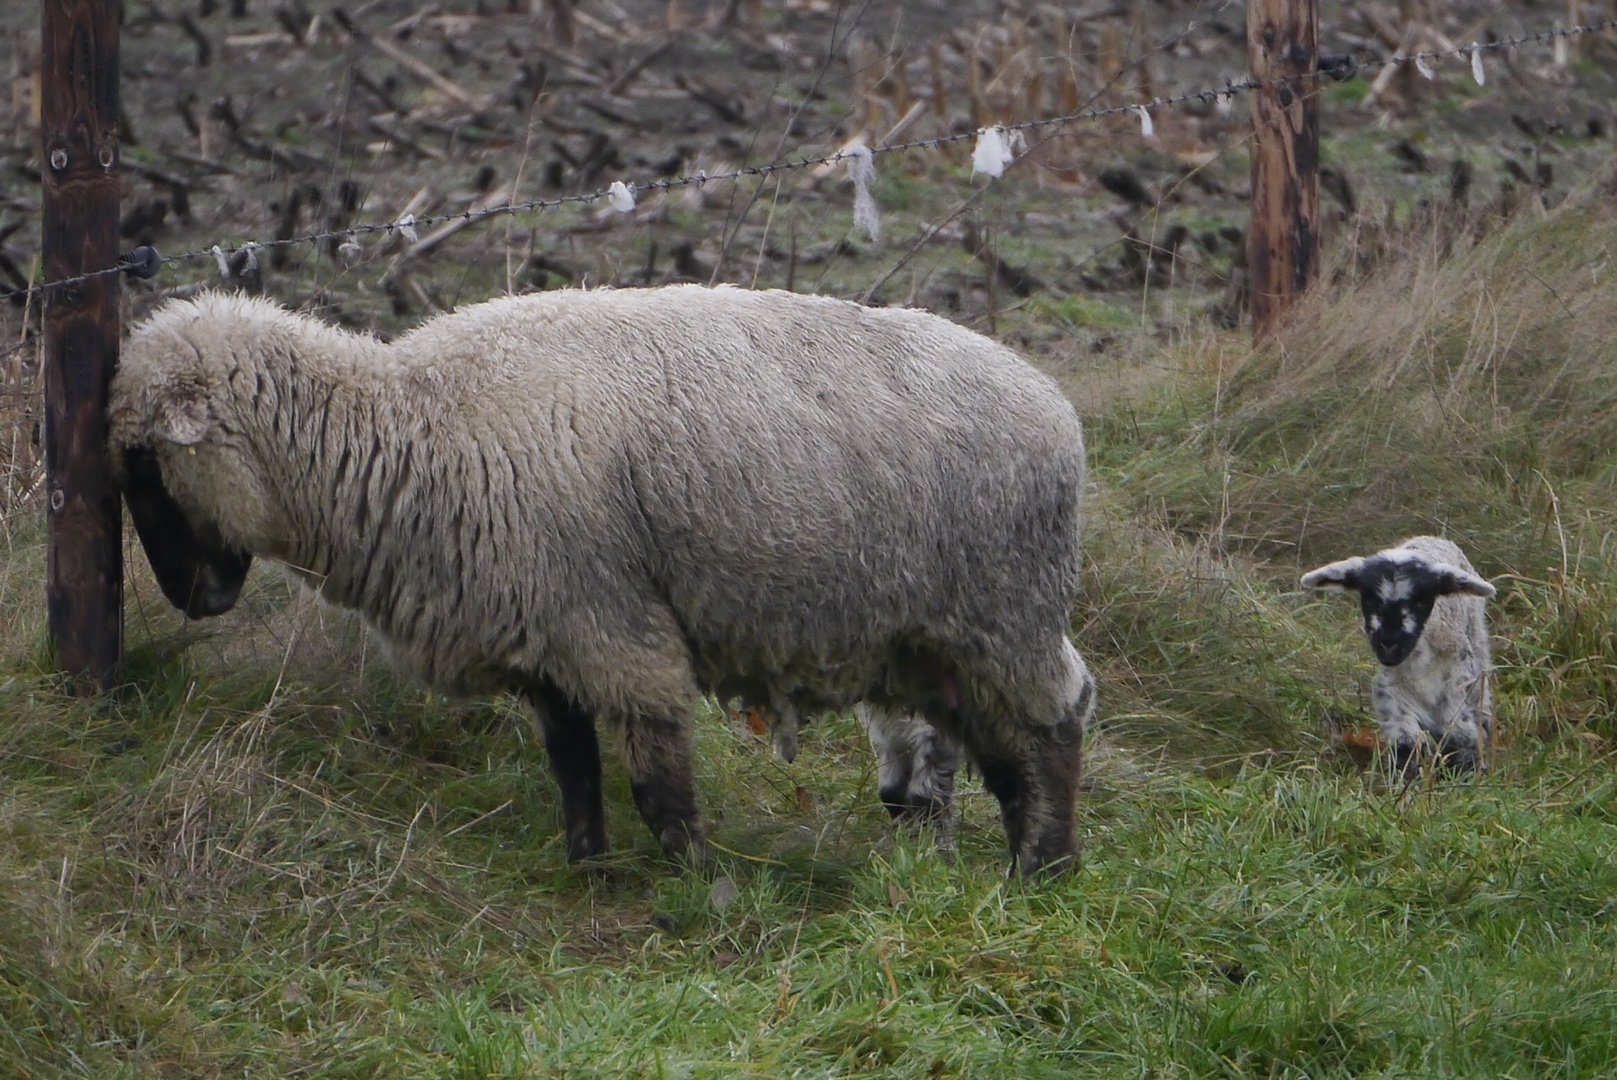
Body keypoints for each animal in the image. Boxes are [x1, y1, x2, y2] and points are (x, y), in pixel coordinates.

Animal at [110, 286, 1099, 879]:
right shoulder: (546, 634)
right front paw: (588, 868)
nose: (196, 601)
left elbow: (656, 781)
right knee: (1000, 738)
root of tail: (1056, 406)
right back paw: (1009, 854)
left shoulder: (614, 625)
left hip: (1003, 609)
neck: (408, 426)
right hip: (934, 636)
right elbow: (573, 765)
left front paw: (702, 886)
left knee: (1054, 724)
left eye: (145, 466)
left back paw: (1043, 869)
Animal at [1293, 536, 1494, 772]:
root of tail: (1432, 538)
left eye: (1422, 600)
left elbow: (1460, 734)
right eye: (1369, 598)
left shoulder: (1457, 679)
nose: (1389, 643)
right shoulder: (1393, 692)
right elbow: (1408, 743)